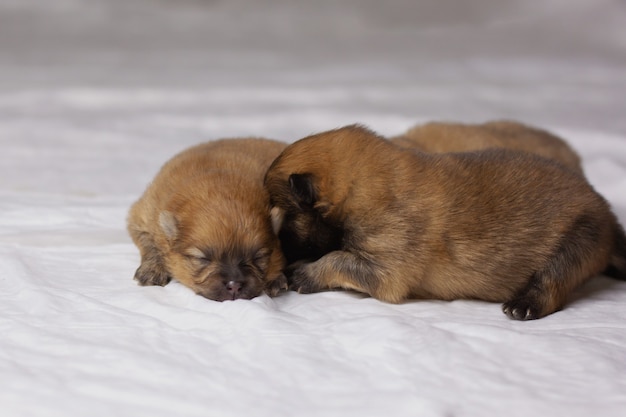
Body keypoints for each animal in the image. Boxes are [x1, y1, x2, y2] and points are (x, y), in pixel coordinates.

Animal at [127, 138, 288, 300]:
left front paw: (275, 278)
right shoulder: (143, 216)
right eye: (203, 259)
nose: (234, 286)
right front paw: (152, 269)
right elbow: (150, 244)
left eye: (258, 257)